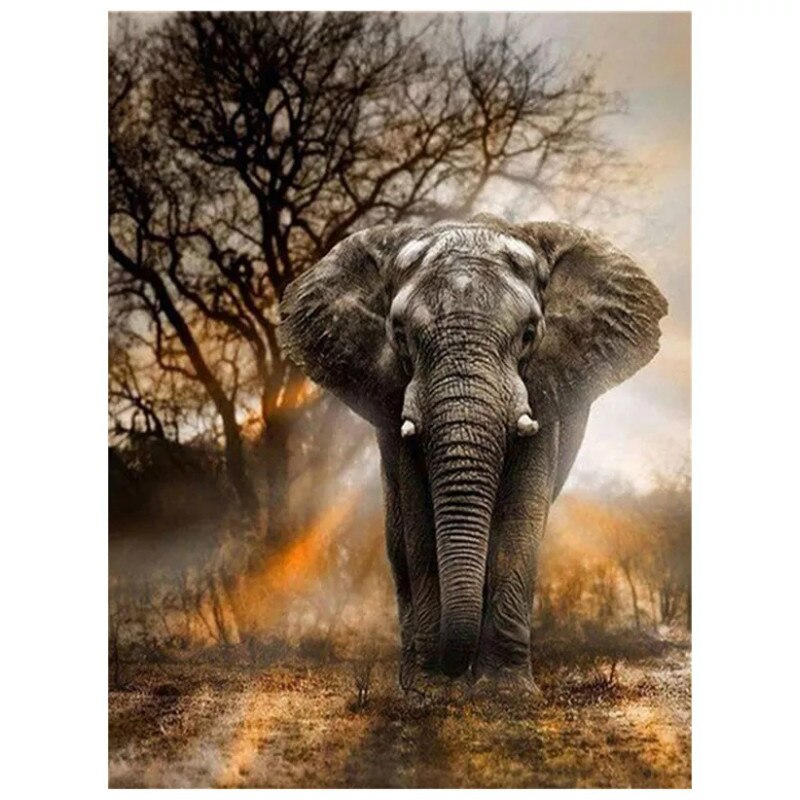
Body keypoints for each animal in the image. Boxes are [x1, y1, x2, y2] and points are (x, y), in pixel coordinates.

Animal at [279, 214, 667, 694]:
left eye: (529, 334)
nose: (451, 671)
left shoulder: (543, 390)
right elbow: (419, 520)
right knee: (397, 541)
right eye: (399, 335)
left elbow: (520, 516)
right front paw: (431, 692)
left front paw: (506, 694)